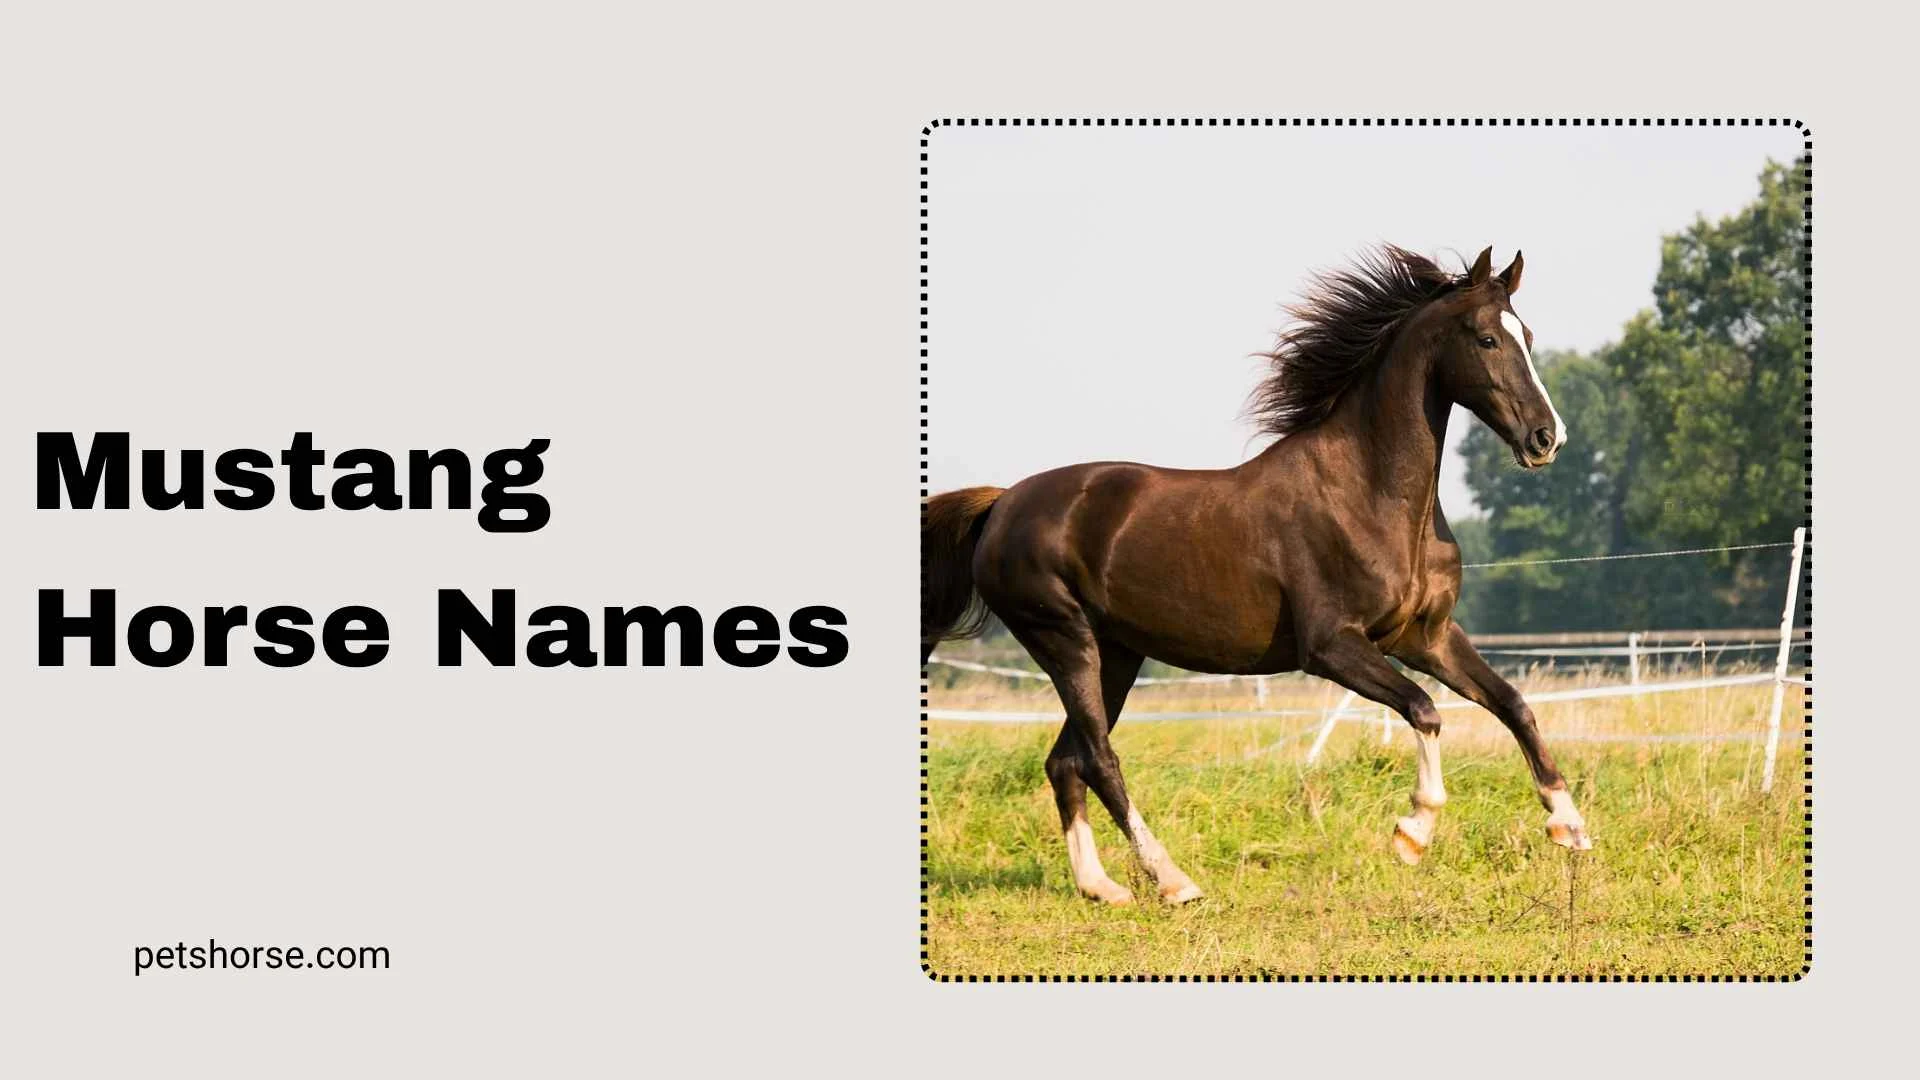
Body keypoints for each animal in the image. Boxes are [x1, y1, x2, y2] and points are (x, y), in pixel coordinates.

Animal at [921, 245, 1591, 906]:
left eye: (1528, 336)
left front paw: (1570, 826)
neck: (1369, 495)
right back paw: (1173, 882)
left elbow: (1512, 703)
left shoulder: (1425, 637)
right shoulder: (1331, 647)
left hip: (1116, 654)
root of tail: (1002, 505)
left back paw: (1101, 887)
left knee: (1067, 762)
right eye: (1486, 338)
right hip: (1066, 642)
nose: (1546, 438)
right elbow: (1424, 709)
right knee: (1100, 760)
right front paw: (1413, 832)